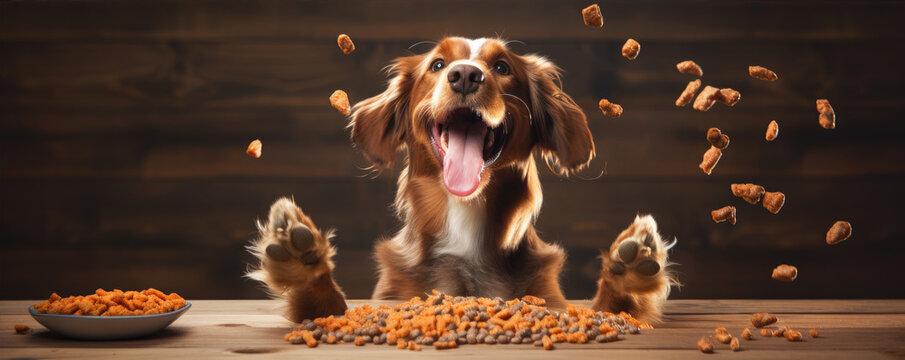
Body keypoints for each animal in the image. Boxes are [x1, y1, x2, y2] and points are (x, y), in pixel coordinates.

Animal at [244, 36, 676, 324]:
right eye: (437, 65)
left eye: (502, 67)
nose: (466, 75)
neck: (465, 224)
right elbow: (327, 308)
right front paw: (301, 259)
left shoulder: (549, 300)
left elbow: (611, 310)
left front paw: (630, 271)